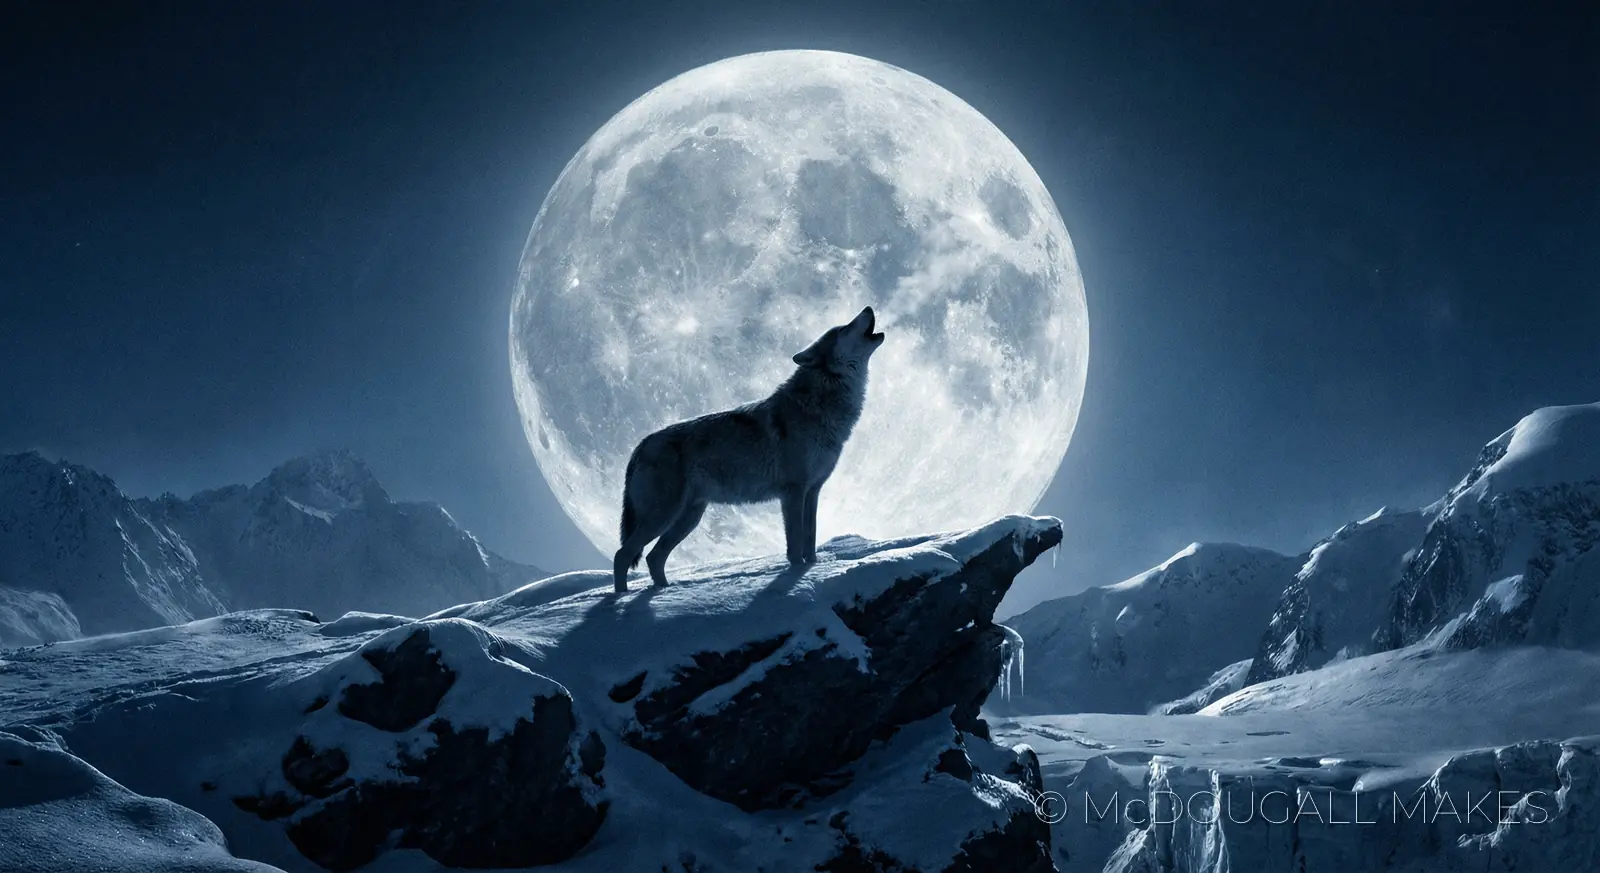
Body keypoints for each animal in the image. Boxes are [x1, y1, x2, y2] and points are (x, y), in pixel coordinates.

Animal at [613, 306, 886, 592]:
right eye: (844, 328)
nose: (868, 308)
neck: (820, 403)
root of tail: (640, 445)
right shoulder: (793, 492)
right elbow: (795, 545)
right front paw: (797, 575)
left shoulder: (813, 491)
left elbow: (810, 543)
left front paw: (811, 569)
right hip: (664, 515)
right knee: (623, 555)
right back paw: (621, 598)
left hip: (688, 518)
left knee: (653, 558)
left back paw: (664, 592)